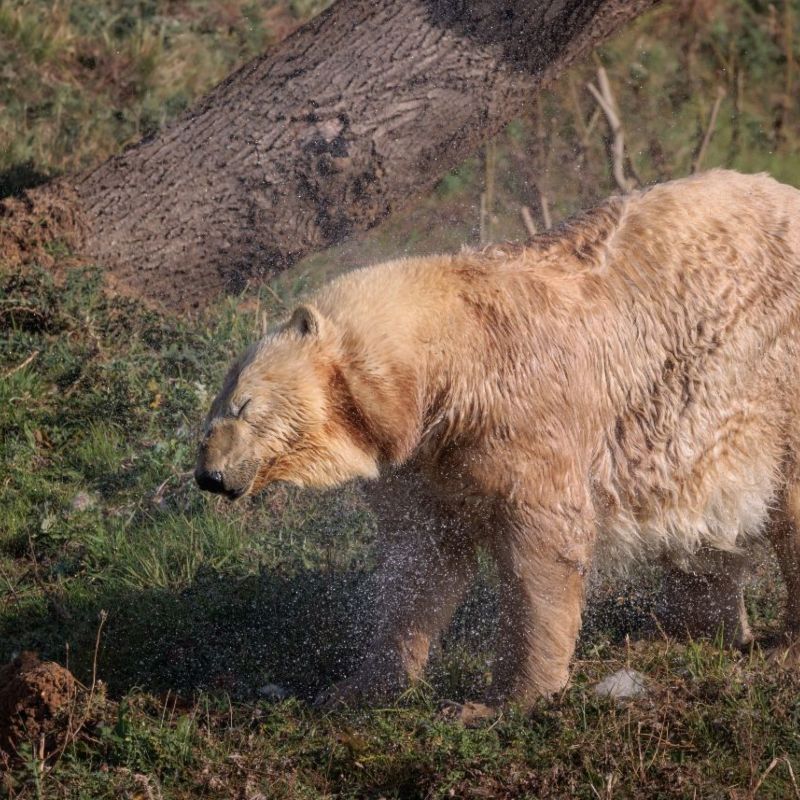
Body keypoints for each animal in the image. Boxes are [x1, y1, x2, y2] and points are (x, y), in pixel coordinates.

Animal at [195, 170, 800, 709]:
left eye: (243, 406)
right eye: (212, 411)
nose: (209, 476)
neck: (454, 350)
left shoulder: (521, 412)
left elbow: (544, 544)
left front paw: (501, 701)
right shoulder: (423, 458)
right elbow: (420, 560)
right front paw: (356, 687)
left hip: (772, 371)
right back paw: (703, 628)